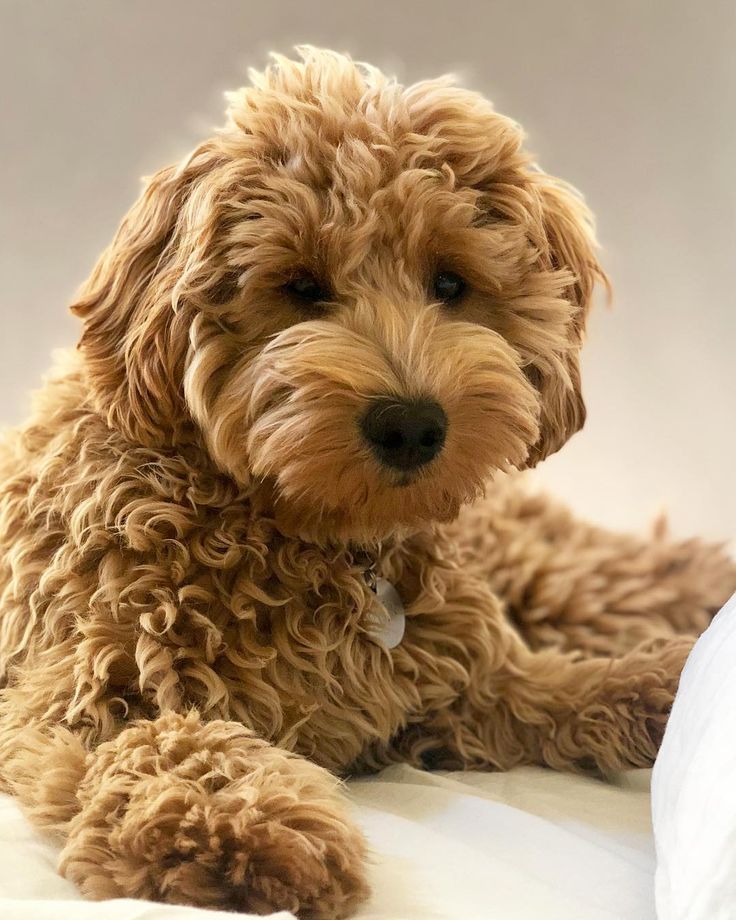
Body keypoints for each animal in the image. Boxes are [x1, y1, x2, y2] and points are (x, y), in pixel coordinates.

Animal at [1, 45, 736, 920]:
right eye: (299, 287)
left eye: (450, 284)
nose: (411, 425)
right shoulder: (89, 692)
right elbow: (166, 740)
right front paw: (242, 829)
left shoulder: (452, 682)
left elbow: (557, 689)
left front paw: (663, 684)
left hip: (544, 574)